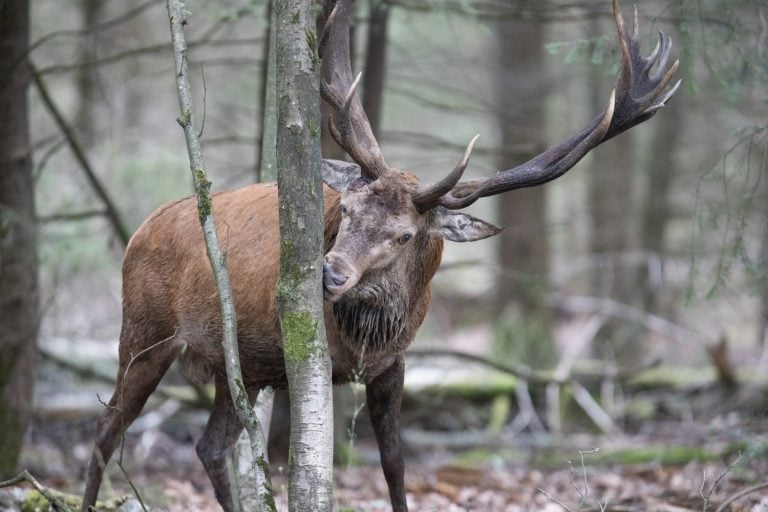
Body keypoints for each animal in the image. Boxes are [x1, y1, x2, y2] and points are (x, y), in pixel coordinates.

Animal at [81, 0, 679, 510]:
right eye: (345, 209)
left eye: (406, 236)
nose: (330, 273)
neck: (364, 337)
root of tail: (140, 229)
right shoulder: (299, 360)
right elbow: (307, 464)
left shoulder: (394, 364)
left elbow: (394, 462)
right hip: (145, 331)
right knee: (107, 430)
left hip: (235, 368)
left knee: (209, 446)